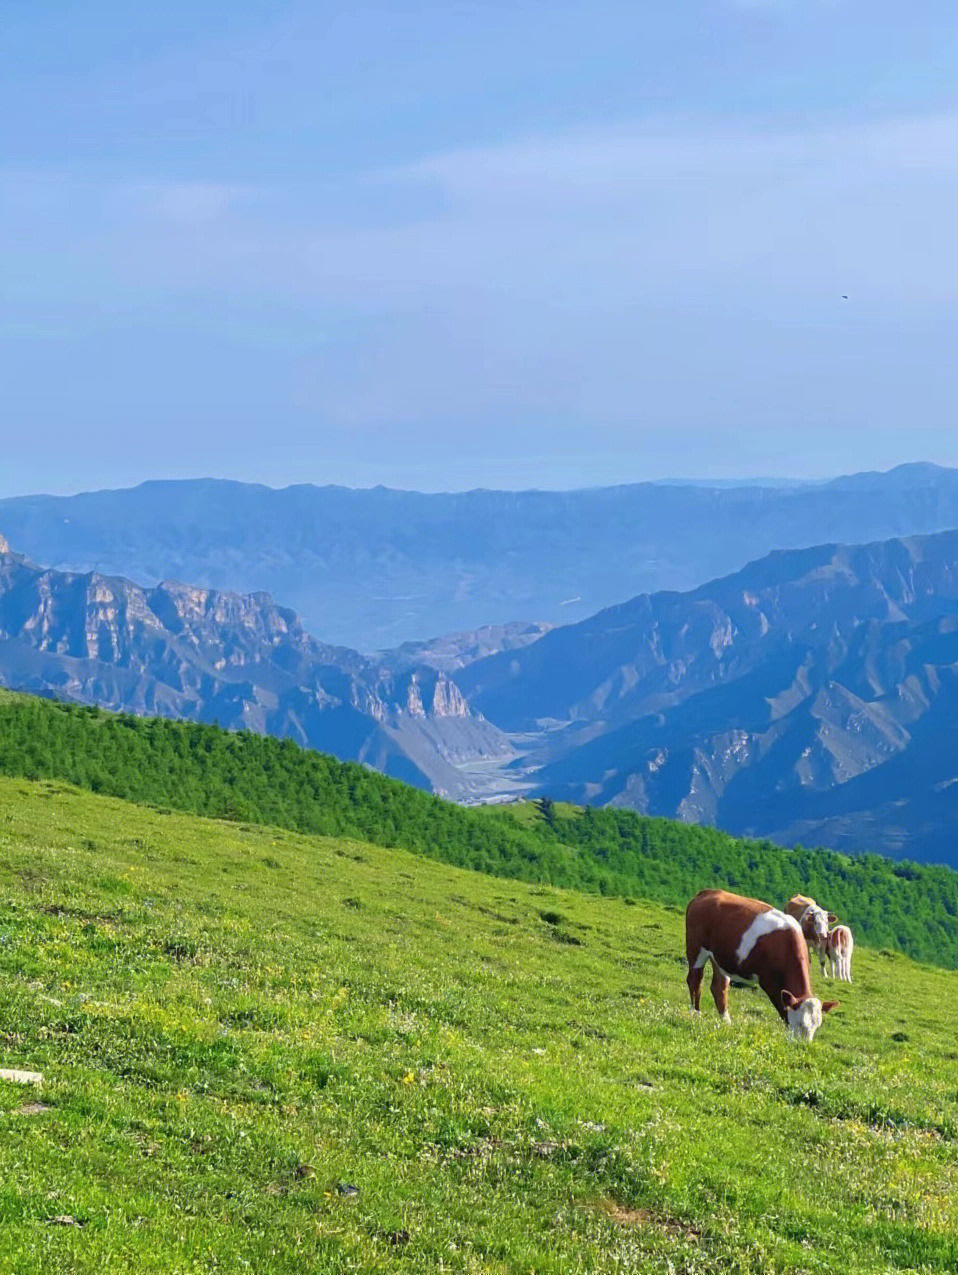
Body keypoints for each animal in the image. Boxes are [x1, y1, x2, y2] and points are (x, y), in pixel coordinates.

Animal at [683, 892, 836, 1040]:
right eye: (799, 1023)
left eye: (816, 1027)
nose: (802, 1045)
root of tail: (706, 893)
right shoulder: (769, 981)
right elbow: (781, 1005)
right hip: (696, 947)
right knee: (695, 980)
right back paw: (695, 1014)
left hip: (719, 957)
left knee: (718, 987)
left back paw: (726, 1022)